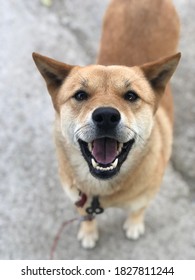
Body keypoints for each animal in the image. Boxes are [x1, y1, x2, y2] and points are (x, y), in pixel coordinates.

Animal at [32, 0, 180, 249]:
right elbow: (87, 216)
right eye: (80, 95)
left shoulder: (146, 196)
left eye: (131, 96)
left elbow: (138, 210)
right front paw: (89, 231)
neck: (101, 189)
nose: (106, 116)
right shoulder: (80, 199)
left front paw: (134, 225)